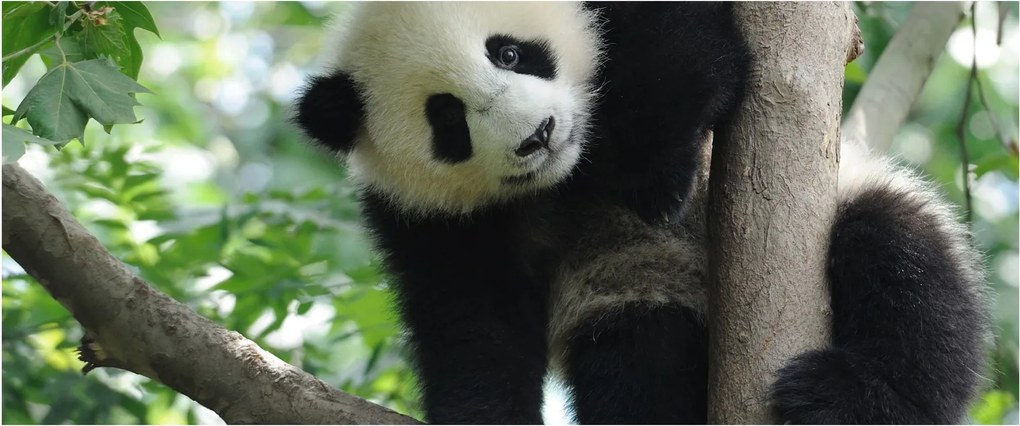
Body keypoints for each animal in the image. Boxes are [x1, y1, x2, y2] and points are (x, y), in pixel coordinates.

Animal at [294, 2, 987, 424]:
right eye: (447, 119)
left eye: (509, 53)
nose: (538, 136)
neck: (570, 173)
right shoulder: (429, 220)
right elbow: (472, 326)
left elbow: (682, 49)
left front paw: (657, 175)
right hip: (636, 290)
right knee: (639, 360)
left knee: (902, 270)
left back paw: (849, 396)